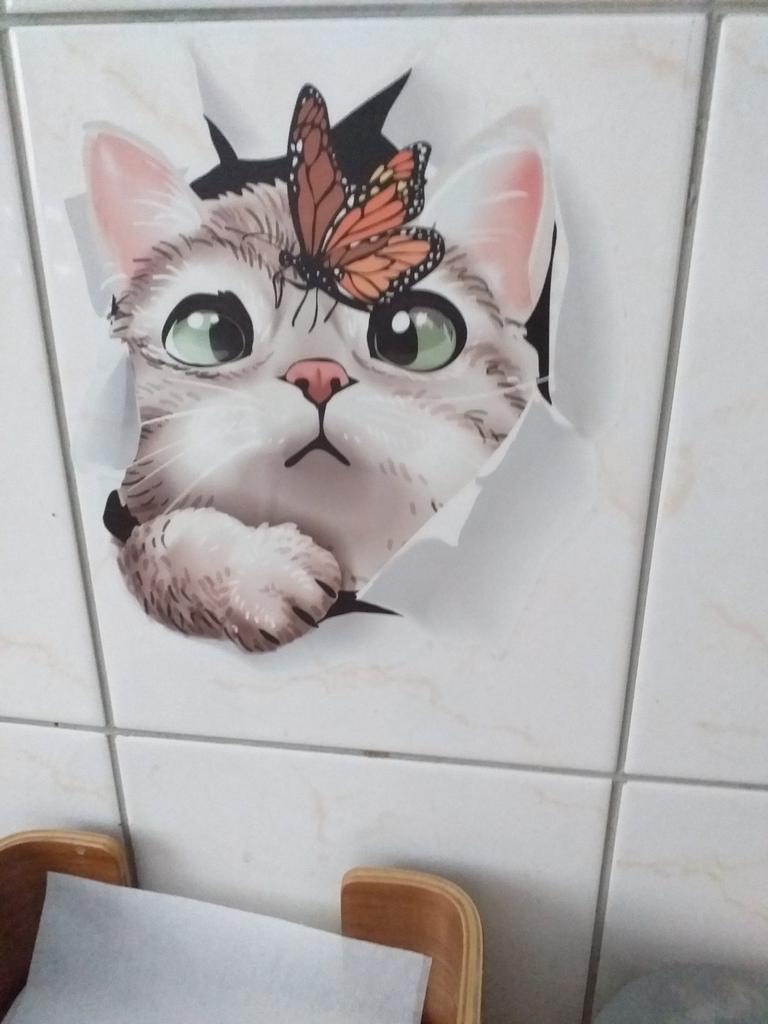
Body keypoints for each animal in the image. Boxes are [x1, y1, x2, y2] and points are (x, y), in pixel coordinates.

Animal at [83, 76, 552, 652]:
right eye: (214, 334)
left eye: (411, 336)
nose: (318, 376)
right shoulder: (125, 518)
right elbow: (152, 540)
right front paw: (263, 573)